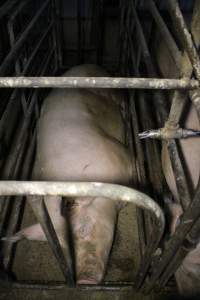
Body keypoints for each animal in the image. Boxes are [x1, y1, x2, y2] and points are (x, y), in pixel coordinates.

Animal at [3, 64, 133, 284]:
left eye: (83, 229)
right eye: (64, 250)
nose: (84, 281)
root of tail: (85, 65)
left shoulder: (122, 158)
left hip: (109, 86)